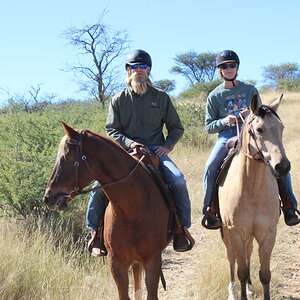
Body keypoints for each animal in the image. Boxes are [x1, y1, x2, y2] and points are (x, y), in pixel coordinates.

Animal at [218, 94, 290, 300]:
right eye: (259, 129)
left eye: (281, 128)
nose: (283, 167)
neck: (252, 188)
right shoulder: (235, 232)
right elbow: (241, 271)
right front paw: (239, 291)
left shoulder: (267, 233)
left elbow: (265, 274)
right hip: (227, 232)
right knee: (231, 257)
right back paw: (232, 291)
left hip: (250, 235)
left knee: (248, 252)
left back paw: (249, 287)